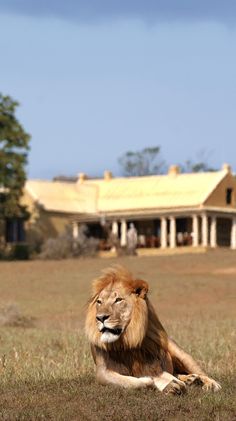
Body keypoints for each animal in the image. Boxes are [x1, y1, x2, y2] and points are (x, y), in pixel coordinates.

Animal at [85, 266, 221, 394]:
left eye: (118, 300)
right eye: (99, 302)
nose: (100, 317)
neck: (126, 340)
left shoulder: (152, 365)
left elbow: (161, 376)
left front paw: (170, 384)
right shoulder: (103, 372)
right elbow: (131, 382)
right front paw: (161, 384)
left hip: (181, 354)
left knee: (200, 372)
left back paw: (210, 384)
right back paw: (190, 380)